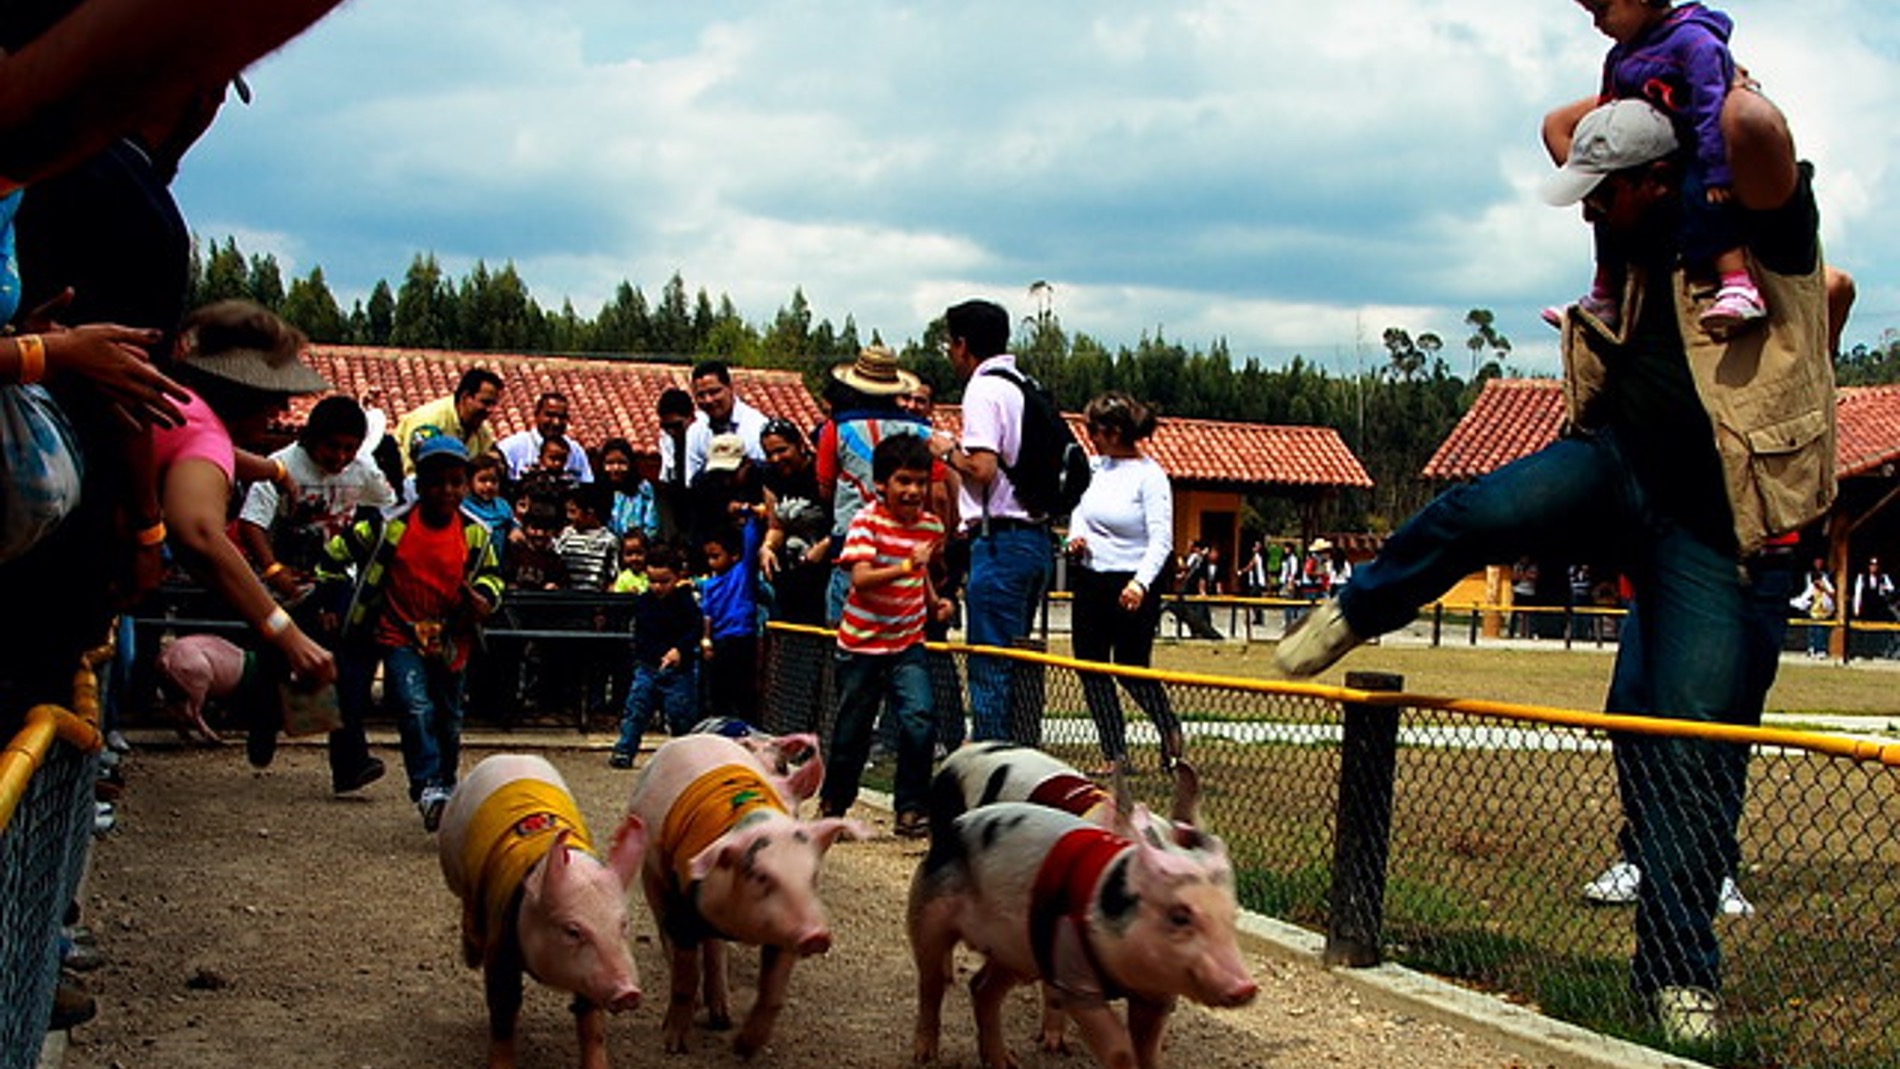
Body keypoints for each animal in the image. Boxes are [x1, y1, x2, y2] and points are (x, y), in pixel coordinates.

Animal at [440, 751, 649, 1069]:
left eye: (623, 924)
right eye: (572, 930)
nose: (628, 992)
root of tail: (507, 755)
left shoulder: (590, 978)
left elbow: (591, 1020)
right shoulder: (502, 939)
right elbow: (503, 1006)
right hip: (452, 854)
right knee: (467, 902)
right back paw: (470, 955)